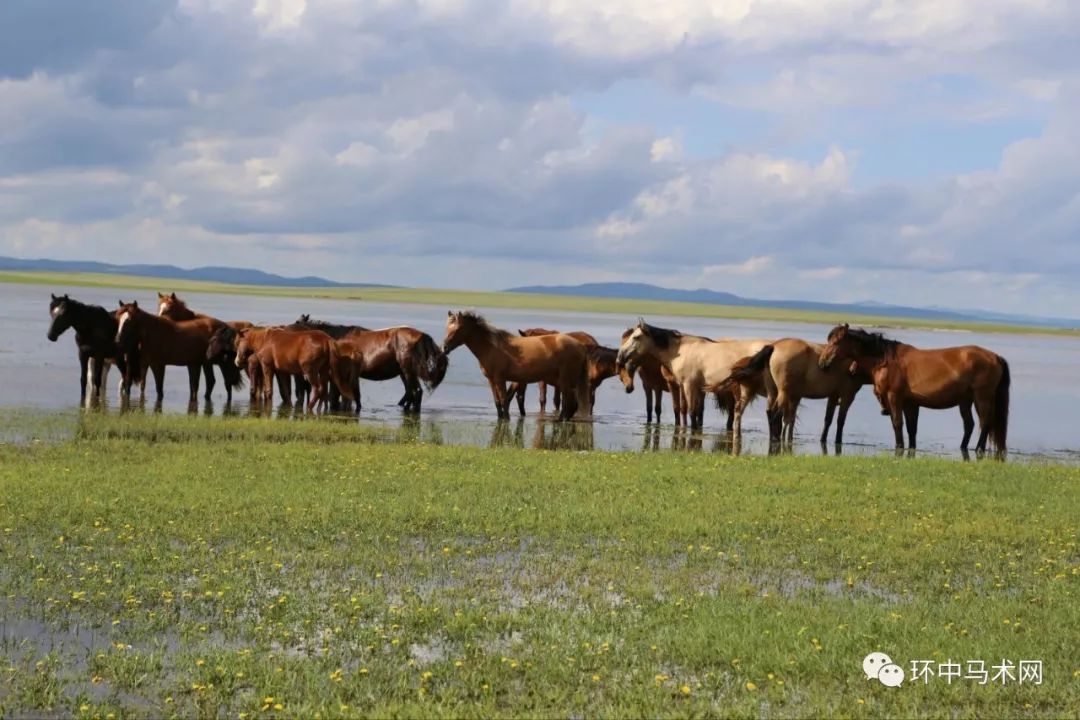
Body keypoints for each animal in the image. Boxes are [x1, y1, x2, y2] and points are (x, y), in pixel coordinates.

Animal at [440, 310, 591, 423]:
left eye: (458, 329)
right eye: (447, 328)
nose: (444, 348)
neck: (492, 347)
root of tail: (580, 346)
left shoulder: (500, 379)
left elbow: (504, 401)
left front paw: (506, 420)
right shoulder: (491, 380)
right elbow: (497, 402)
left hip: (565, 381)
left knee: (569, 404)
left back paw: (560, 422)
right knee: (572, 405)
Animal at [613, 321, 773, 433]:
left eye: (636, 337)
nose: (620, 357)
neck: (682, 350)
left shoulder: (688, 386)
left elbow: (691, 412)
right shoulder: (692, 387)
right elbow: (693, 412)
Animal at [712, 338, 872, 444]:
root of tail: (774, 346)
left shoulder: (830, 396)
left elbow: (825, 419)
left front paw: (822, 439)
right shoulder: (847, 396)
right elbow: (840, 420)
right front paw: (838, 441)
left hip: (771, 392)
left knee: (763, 412)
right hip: (775, 392)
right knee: (771, 413)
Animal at [816, 325, 1010, 453]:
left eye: (836, 342)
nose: (822, 363)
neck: (886, 360)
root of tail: (995, 357)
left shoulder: (894, 398)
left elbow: (897, 423)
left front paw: (899, 447)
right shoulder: (911, 404)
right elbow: (911, 429)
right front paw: (910, 448)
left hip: (982, 397)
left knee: (985, 423)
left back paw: (978, 449)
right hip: (965, 401)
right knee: (970, 425)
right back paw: (964, 447)